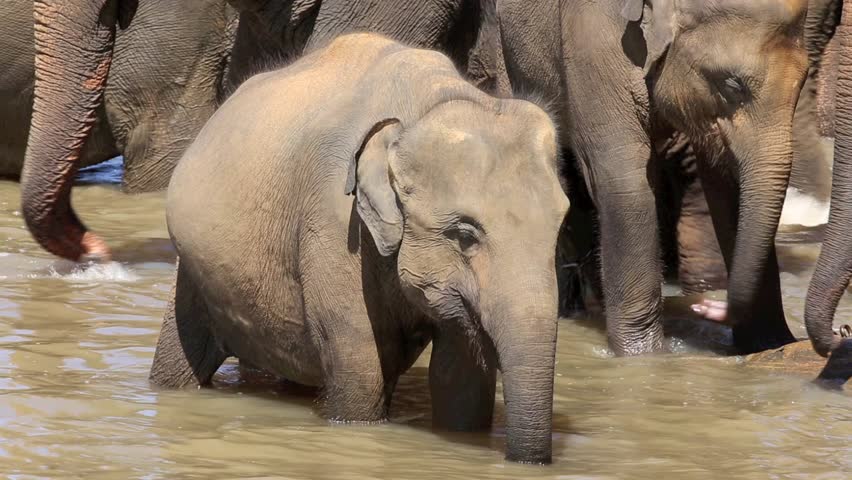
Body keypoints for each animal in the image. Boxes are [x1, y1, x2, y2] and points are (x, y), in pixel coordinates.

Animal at [151, 34, 569, 464]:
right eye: (465, 235)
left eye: (559, 230)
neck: (429, 105)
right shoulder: (333, 221)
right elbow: (361, 372)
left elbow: (461, 385)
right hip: (194, 275)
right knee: (177, 365)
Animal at [496, 0, 810, 355]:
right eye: (732, 85)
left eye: (804, 81)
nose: (708, 307)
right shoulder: (594, 36)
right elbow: (625, 183)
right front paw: (643, 357)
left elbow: (726, 185)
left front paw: (771, 345)